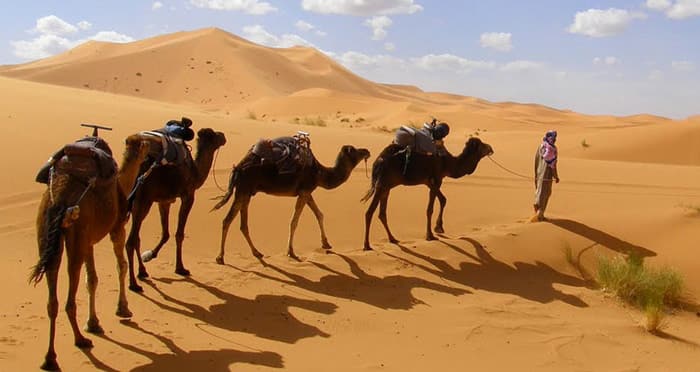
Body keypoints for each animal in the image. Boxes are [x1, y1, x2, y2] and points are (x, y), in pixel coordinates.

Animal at [31, 133, 150, 370]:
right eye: (144, 144)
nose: (151, 148)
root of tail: (60, 197)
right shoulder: (116, 228)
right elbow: (120, 266)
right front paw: (123, 308)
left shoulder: (89, 242)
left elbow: (92, 279)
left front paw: (94, 323)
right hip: (76, 232)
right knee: (69, 295)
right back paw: (80, 340)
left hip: (47, 233)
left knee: (52, 297)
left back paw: (50, 358)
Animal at [124, 128, 226, 294]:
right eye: (214, 135)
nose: (223, 136)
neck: (195, 172)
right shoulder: (188, 196)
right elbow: (179, 234)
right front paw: (181, 268)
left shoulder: (164, 201)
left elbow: (165, 233)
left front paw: (150, 255)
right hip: (143, 201)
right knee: (131, 241)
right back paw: (133, 284)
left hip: (136, 204)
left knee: (136, 238)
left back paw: (143, 272)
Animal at [212, 140, 372, 262]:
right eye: (354, 150)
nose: (367, 151)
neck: (319, 173)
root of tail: (237, 168)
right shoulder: (304, 191)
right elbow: (294, 221)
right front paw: (291, 252)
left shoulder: (306, 192)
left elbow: (319, 214)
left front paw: (326, 243)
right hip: (243, 190)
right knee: (227, 220)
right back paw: (220, 257)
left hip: (247, 192)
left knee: (243, 225)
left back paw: (257, 252)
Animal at [364, 136, 494, 250]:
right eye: (482, 145)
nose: (491, 148)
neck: (448, 163)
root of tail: (378, 161)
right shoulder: (437, 179)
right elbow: (430, 209)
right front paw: (430, 235)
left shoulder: (430, 182)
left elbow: (443, 200)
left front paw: (439, 228)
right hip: (382, 185)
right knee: (369, 212)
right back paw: (367, 245)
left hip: (387, 186)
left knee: (382, 213)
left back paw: (392, 239)